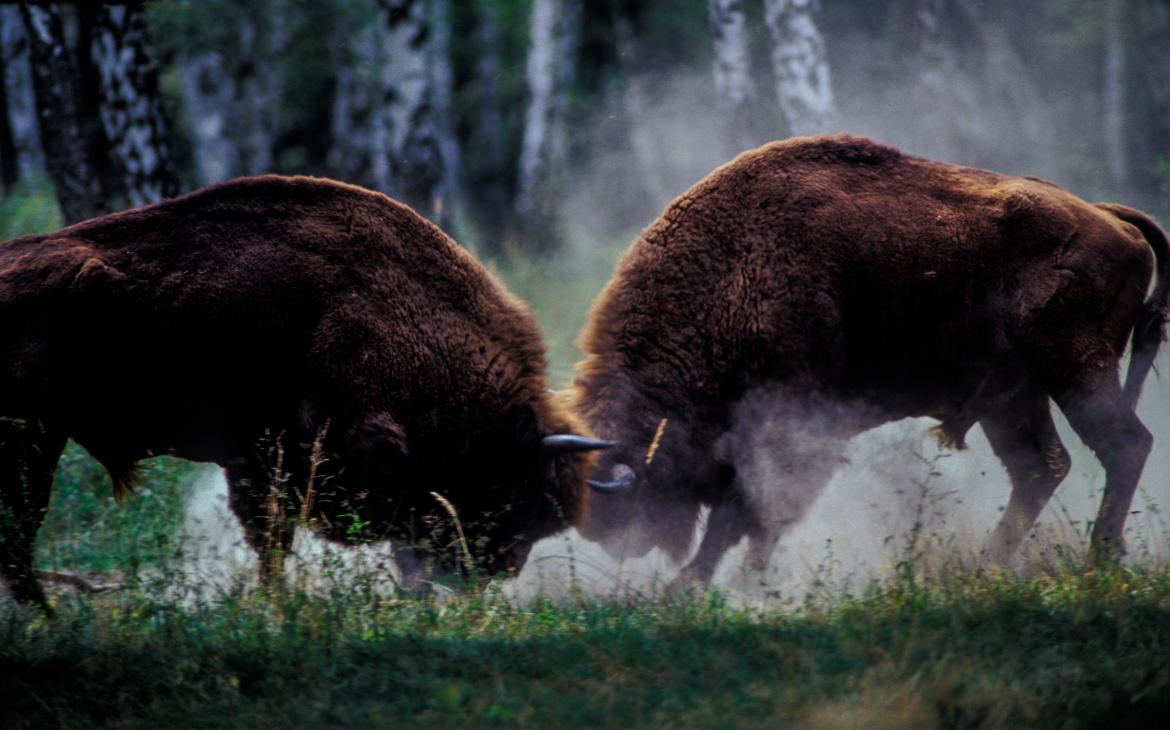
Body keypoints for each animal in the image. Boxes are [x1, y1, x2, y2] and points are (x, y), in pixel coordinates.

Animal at [2, 174, 613, 608]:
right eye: (515, 491)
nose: (491, 573)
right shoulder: (283, 458)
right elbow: (275, 539)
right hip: (32, 443)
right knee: (19, 537)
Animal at [575, 133, 1170, 589]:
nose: (623, 544)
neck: (729, 275)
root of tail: (1112, 220)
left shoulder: (788, 428)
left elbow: (748, 510)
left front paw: (697, 587)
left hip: (1075, 371)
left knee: (1124, 445)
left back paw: (1098, 557)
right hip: (1015, 397)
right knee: (1043, 467)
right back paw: (984, 567)